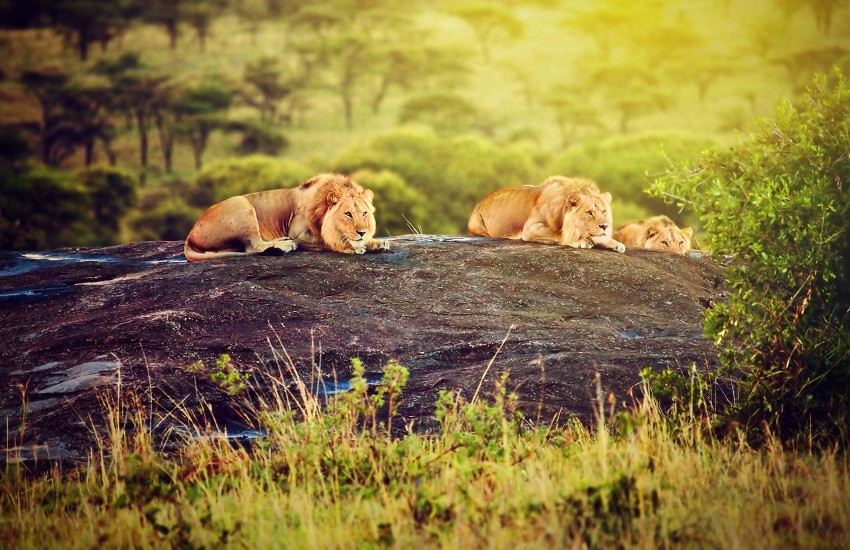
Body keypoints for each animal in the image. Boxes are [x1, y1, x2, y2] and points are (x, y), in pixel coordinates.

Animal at [468, 177, 628, 254]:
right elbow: (558, 234)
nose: (605, 226)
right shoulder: (530, 227)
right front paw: (579, 241)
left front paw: (615, 243)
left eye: (603, 211)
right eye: (589, 213)